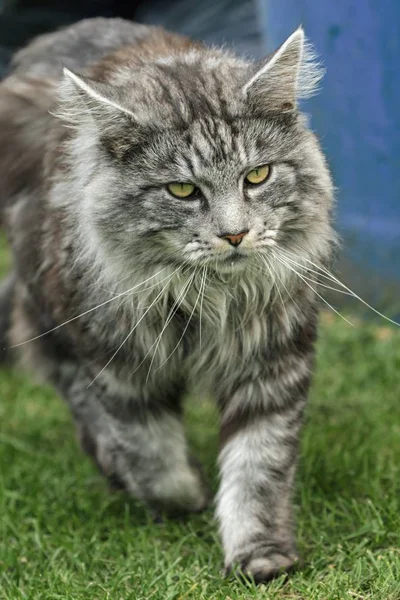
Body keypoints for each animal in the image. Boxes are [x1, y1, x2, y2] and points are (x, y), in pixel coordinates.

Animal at [0, 17, 338, 580]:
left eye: (257, 176)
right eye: (182, 191)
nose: (234, 234)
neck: (209, 300)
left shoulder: (271, 362)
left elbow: (258, 466)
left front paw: (260, 555)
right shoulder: (118, 366)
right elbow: (154, 458)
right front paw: (189, 494)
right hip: (48, 310)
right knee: (75, 395)